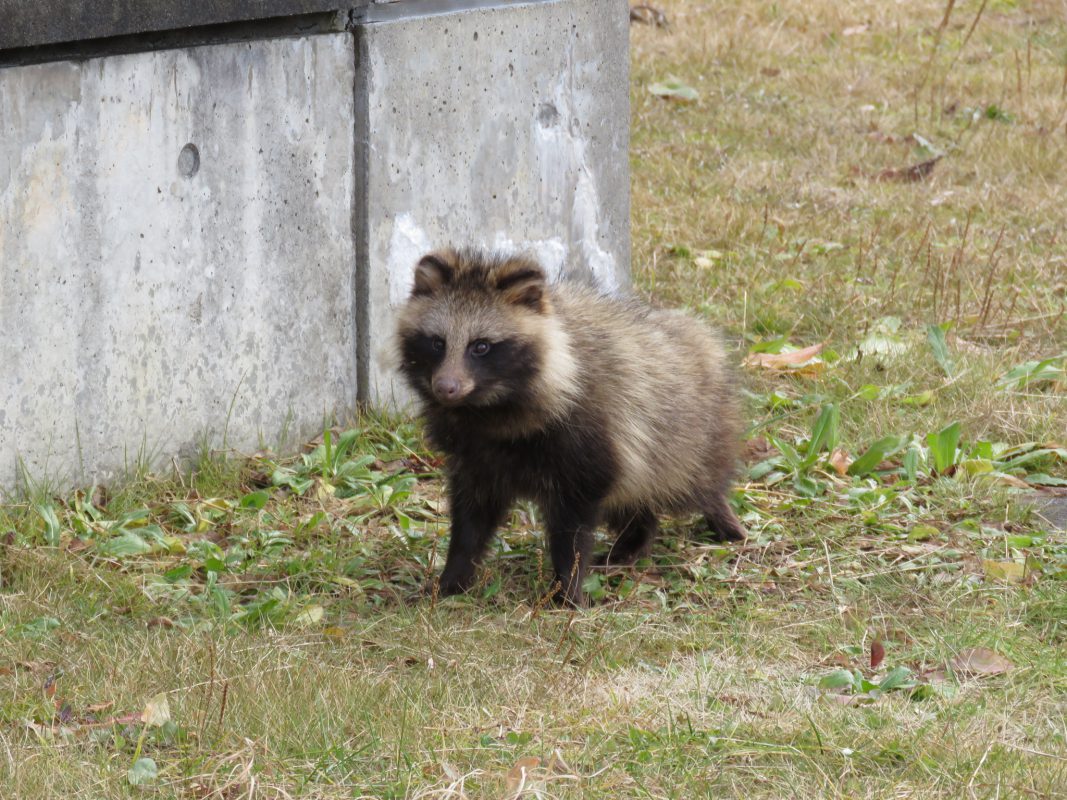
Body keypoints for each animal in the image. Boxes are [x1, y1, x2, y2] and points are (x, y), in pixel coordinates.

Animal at [394, 247, 742, 605]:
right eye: (437, 343)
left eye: (481, 346)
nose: (445, 388)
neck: (488, 409)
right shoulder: (475, 454)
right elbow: (471, 518)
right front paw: (453, 578)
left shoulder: (586, 432)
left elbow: (572, 527)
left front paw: (567, 588)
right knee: (634, 500)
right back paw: (635, 538)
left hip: (686, 435)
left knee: (692, 480)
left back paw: (719, 514)